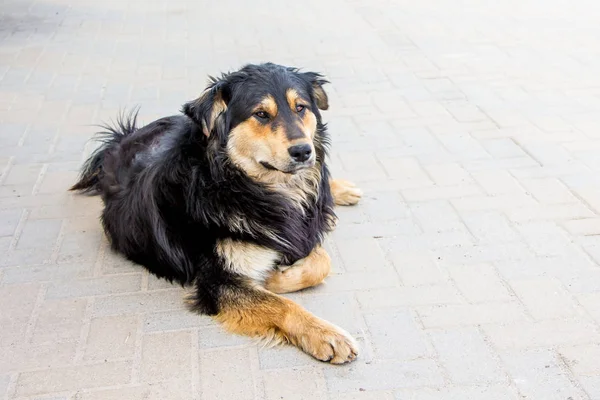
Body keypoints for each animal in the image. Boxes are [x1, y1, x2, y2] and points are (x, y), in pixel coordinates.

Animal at [70, 61, 360, 362]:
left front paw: (275, 277)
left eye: (300, 107)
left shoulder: (302, 233)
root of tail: (123, 138)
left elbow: (321, 262)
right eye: (261, 114)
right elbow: (282, 304)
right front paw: (326, 334)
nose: (303, 151)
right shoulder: (219, 281)